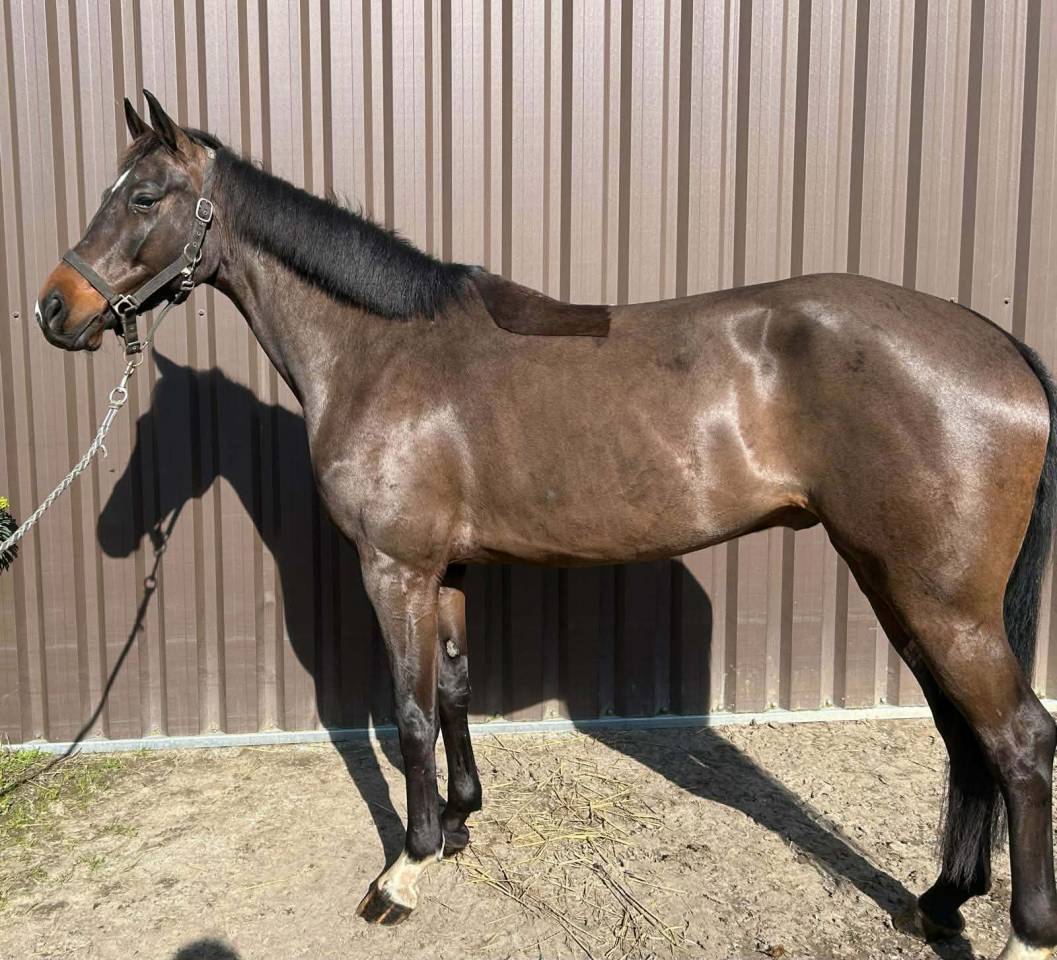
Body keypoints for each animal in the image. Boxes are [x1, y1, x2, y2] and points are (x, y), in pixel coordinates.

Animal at [34, 91, 1057, 959]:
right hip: (899, 587)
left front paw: (404, 870)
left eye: (145, 197)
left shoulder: (394, 569)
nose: (54, 308)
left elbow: (409, 712)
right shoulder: (444, 571)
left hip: (940, 602)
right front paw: (458, 823)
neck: (380, 352)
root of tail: (997, 344)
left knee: (1017, 739)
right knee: (962, 737)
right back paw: (937, 902)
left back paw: (1023, 932)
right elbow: (452, 690)